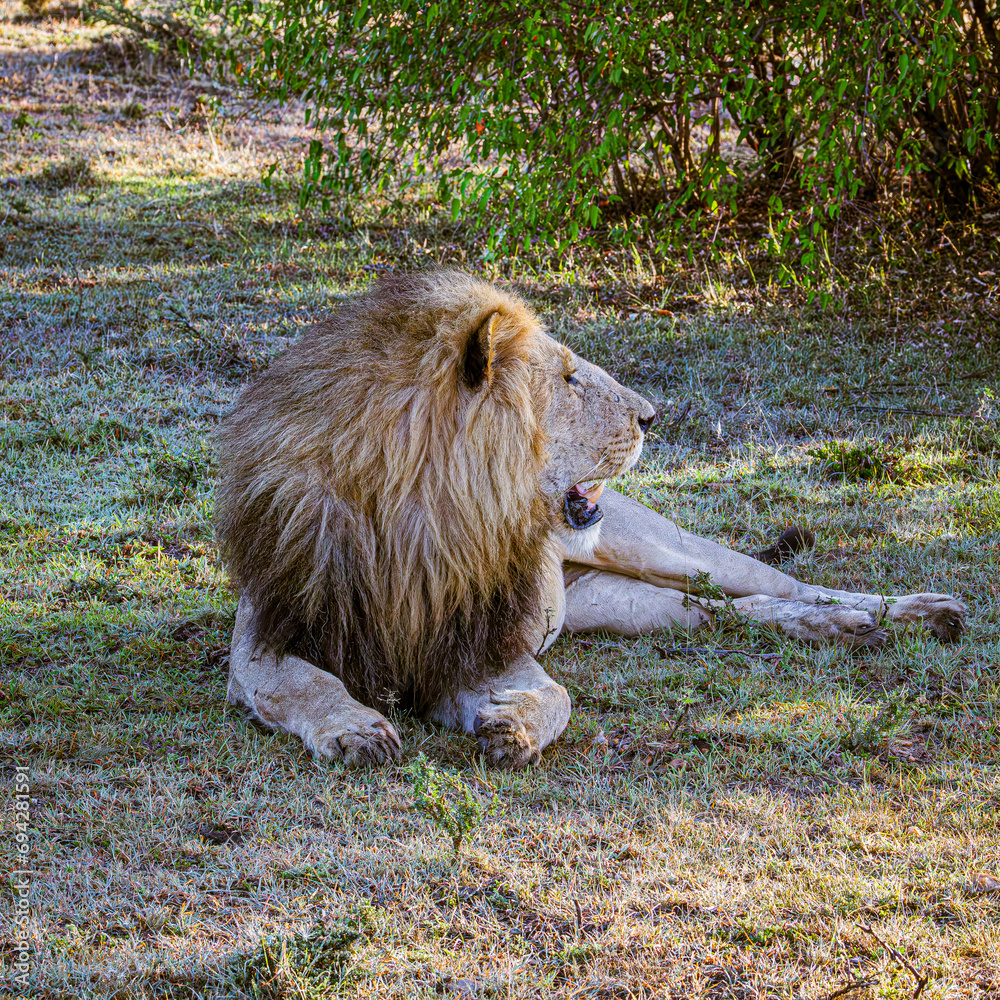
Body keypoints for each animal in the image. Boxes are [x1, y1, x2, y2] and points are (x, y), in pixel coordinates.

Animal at [216, 271, 967, 768]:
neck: (423, 521)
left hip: (665, 549)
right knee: (722, 612)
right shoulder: (267, 634)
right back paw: (841, 628)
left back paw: (904, 614)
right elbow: (309, 684)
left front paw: (510, 728)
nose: (652, 416)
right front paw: (355, 728)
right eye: (570, 378)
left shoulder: (482, 647)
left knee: (783, 586)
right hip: (621, 604)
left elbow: (557, 698)